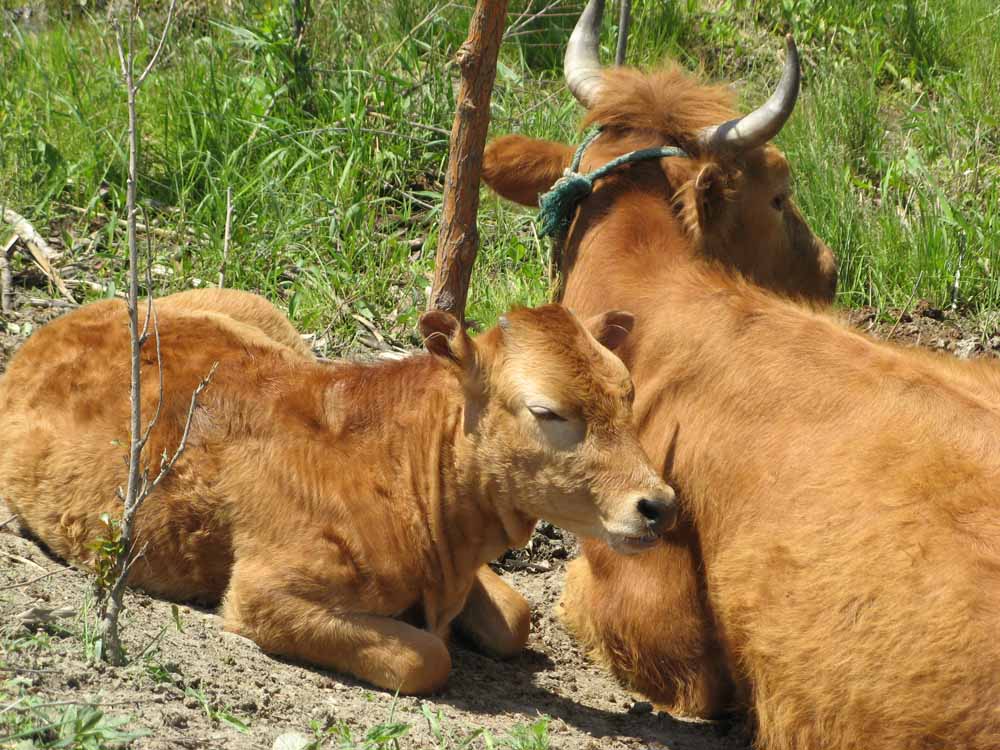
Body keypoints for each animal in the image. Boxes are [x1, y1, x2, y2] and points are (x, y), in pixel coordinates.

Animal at [0, 290, 676, 700]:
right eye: (547, 411)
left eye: (628, 393)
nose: (659, 504)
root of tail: (57, 324)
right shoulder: (263, 592)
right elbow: (426, 658)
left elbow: (516, 618)